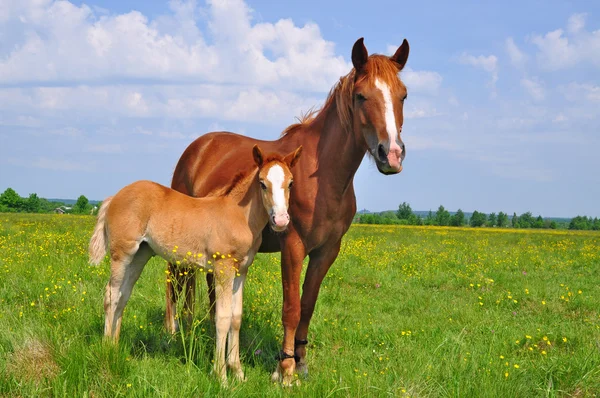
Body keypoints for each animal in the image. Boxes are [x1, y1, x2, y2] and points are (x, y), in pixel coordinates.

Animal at [88, 145, 304, 384]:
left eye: (291, 183)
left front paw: (238, 372)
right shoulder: (223, 269)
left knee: (123, 295)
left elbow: (236, 318)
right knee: (111, 294)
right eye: (262, 183)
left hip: (140, 255)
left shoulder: (241, 271)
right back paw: (106, 349)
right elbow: (222, 318)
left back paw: (115, 346)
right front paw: (221, 376)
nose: (281, 221)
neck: (238, 215)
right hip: (122, 253)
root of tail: (114, 197)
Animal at [166, 37, 410, 386]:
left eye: (402, 95)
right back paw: (175, 333)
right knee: (175, 282)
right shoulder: (293, 246)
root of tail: (197, 148)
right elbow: (291, 307)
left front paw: (301, 361)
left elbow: (307, 305)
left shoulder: (326, 251)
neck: (321, 177)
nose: (391, 155)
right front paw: (285, 370)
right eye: (362, 96)